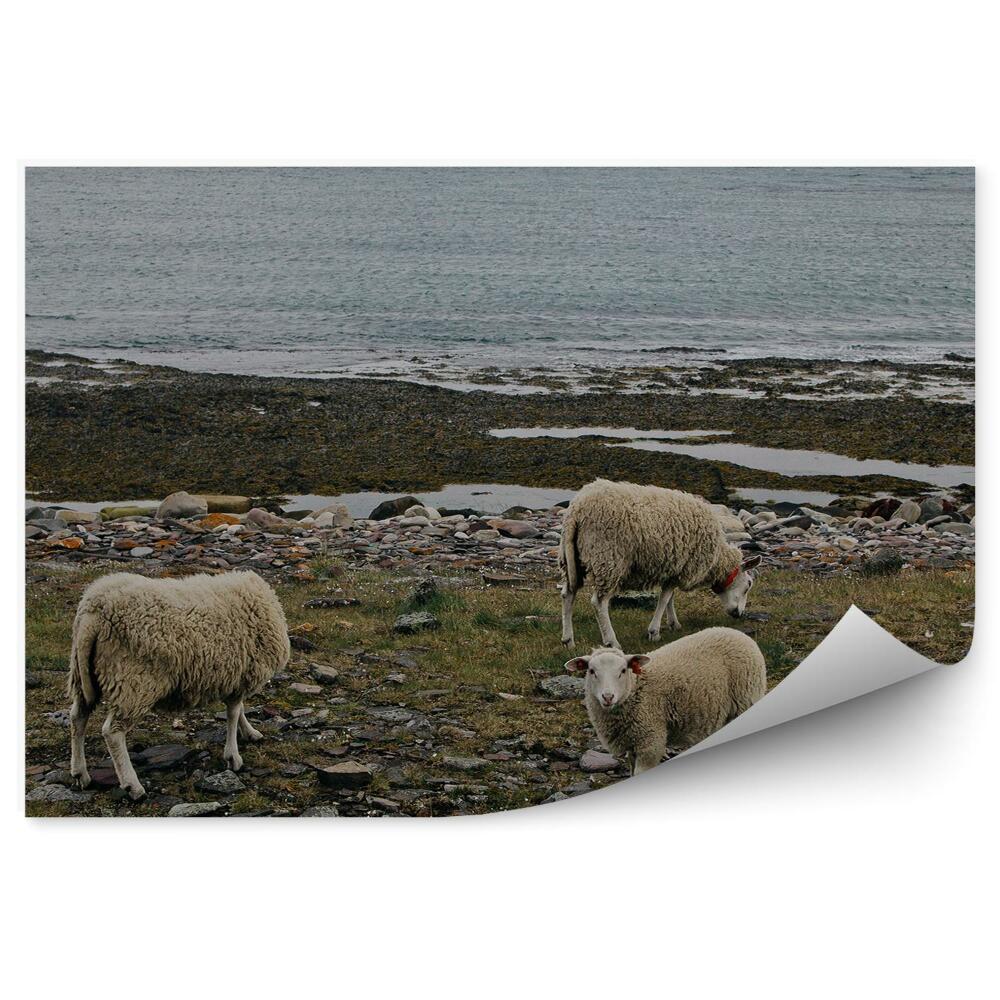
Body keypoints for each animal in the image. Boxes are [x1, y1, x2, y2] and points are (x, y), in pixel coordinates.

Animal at [66, 571, 290, 800]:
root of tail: (95, 611)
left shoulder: (235, 677)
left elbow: (239, 710)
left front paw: (249, 732)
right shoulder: (240, 672)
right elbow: (234, 713)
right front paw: (233, 756)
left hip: (84, 675)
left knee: (77, 717)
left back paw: (80, 773)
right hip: (133, 682)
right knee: (112, 732)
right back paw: (133, 786)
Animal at [558, 479, 761, 649]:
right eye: (748, 585)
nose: (739, 614)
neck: (717, 560)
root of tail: (576, 509)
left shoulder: (673, 567)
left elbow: (669, 597)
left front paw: (673, 623)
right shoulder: (680, 566)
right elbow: (664, 599)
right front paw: (654, 631)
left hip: (572, 559)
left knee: (568, 594)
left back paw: (568, 640)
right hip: (607, 558)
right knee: (599, 602)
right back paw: (611, 640)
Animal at [565, 627, 766, 775]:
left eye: (623, 670)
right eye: (591, 671)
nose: (608, 697)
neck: (636, 688)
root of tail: (739, 633)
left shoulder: (651, 740)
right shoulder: (633, 743)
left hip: (746, 699)